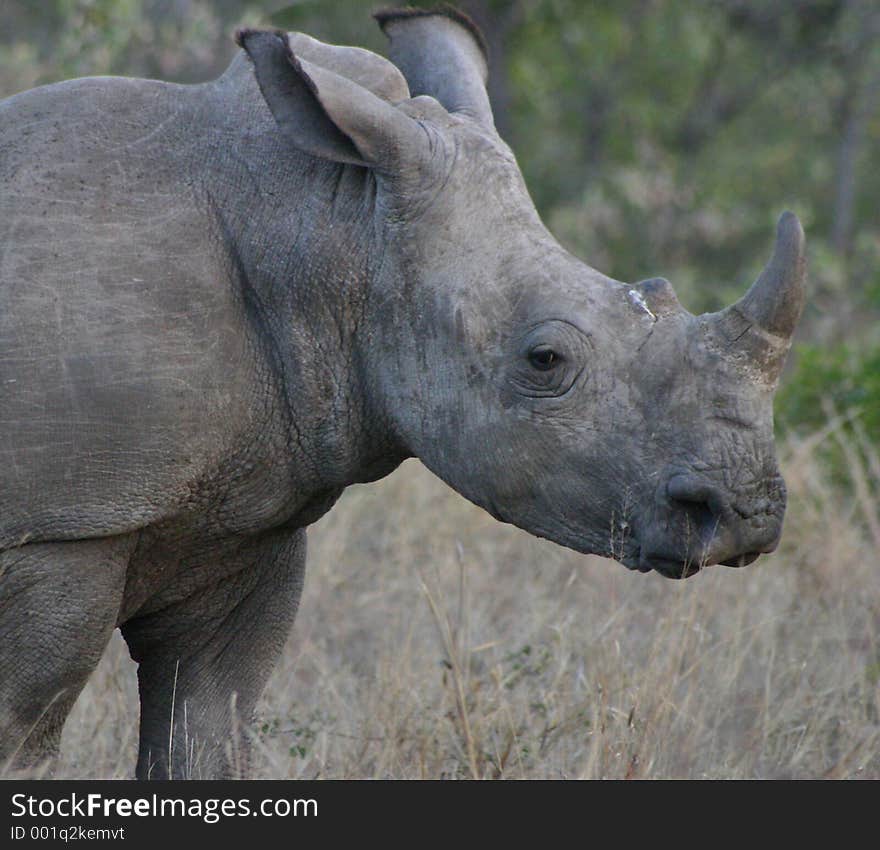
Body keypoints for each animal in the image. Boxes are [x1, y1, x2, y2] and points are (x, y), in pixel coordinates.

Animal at [0, 6, 804, 776]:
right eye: (545, 359)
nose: (749, 515)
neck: (325, 225)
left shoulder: (247, 524)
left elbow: (206, 730)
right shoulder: (61, 527)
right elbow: (23, 733)